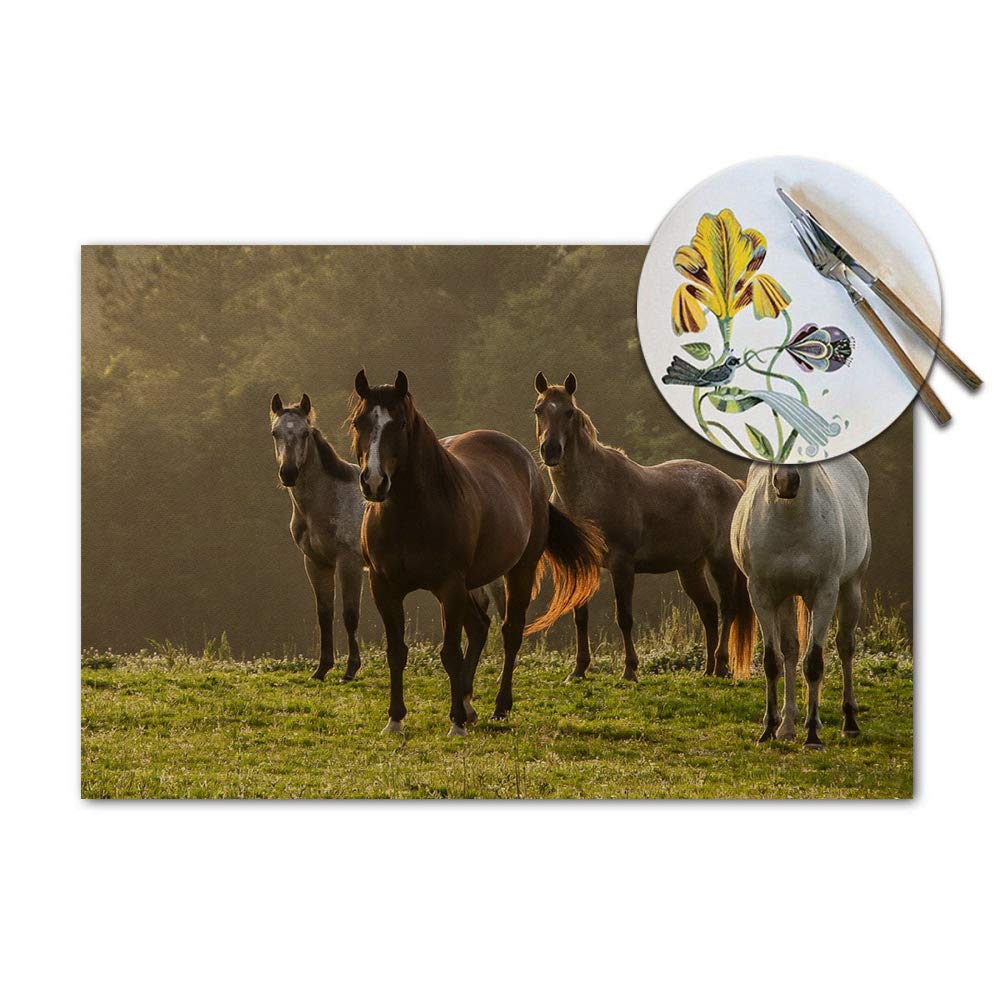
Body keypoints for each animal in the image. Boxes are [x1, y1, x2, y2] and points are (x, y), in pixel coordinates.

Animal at [269, 392, 366, 681]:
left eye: (304, 433)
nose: (288, 473)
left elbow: (350, 614)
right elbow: (324, 614)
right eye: (275, 433)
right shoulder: (316, 563)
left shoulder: (349, 564)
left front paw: (351, 669)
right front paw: (322, 668)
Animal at [351, 369, 605, 735]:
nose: (373, 482)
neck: (411, 515)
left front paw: (456, 721)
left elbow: (450, 653)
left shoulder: (449, 586)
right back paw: (470, 703)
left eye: (398, 423)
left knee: (509, 632)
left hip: (518, 571)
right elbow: (396, 651)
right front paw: (396, 719)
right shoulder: (384, 587)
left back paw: (499, 706)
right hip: (471, 585)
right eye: (359, 422)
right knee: (480, 627)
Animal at [532, 372, 756, 681]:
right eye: (539, 410)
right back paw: (708, 669)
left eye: (569, 412)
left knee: (727, 608)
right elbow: (580, 617)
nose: (551, 450)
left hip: (721, 562)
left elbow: (624, 617)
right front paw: (578, 670)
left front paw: (630, 670)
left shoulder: (622, 564)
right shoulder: (583, 563)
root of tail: (732, 485)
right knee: (708, 611)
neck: (588, 492)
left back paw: (721, 665)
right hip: (690, 567)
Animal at [730, 456, 871, 747]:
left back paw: (849, 722)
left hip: (851, 589)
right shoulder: (761, 594)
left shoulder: (825, 593)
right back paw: (787, 726)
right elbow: (773, 661)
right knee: (791, 650)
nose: (786, 482)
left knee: (845, 646)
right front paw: (768, 730)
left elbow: (814, 663)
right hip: (785, 597)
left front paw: (813, 736)